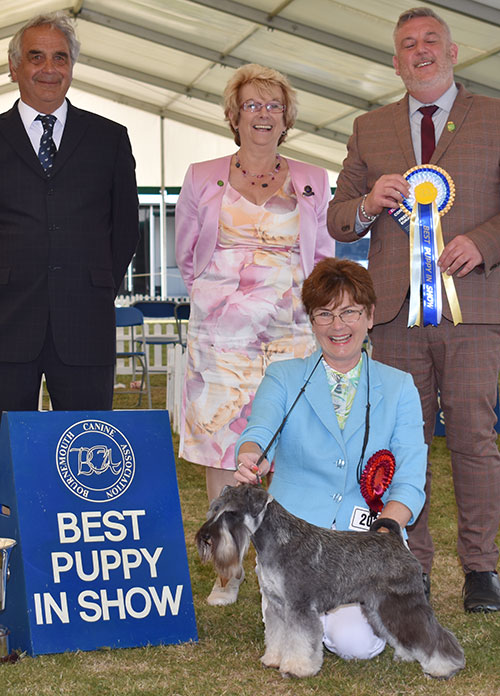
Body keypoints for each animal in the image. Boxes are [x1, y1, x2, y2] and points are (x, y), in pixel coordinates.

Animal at [196, 484, 464, 680]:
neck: (277, 541)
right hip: (379, 608)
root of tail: (396, 540)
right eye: (214, 509)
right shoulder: (277, 606)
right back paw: (408, 655)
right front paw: (273, 660)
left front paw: (296, 668)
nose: (205, 537)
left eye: (232, 513)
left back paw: (444, 666)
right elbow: (277, 636)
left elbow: (300, 640)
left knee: (431, 634)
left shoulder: (299, 607)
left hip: (401, 602)